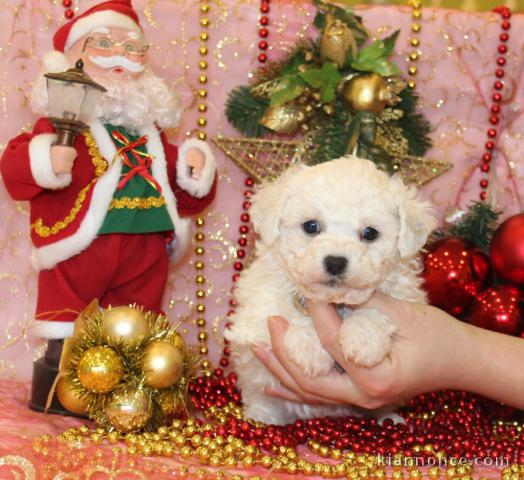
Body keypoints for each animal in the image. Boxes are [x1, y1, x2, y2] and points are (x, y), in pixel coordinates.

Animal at [227, 157, 436, 424]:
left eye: (370, 233)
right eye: (311, 226)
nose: (335, 262)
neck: (336, 302)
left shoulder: (405, 297)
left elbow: (378, 313)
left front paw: (363, 339)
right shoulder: (255, 310)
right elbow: (280, 308)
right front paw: (311, 348)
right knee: (262, 402)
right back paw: (263, 420)